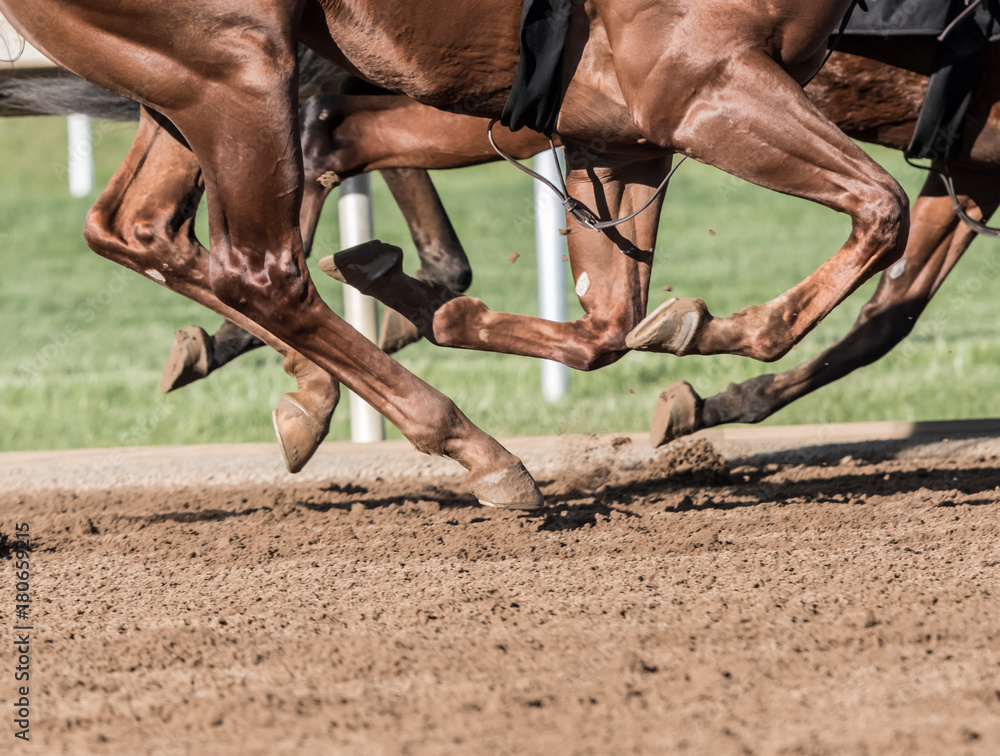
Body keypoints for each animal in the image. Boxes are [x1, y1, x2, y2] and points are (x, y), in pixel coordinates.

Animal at [0, 0, 907, 508]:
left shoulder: (623, 127)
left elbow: (611, 321)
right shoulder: (701, 79)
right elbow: (882, 209)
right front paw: (728, 331)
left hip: (187, 81)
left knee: (138, 227)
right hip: (234, 62)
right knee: (260, 267)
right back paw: (477, 450)